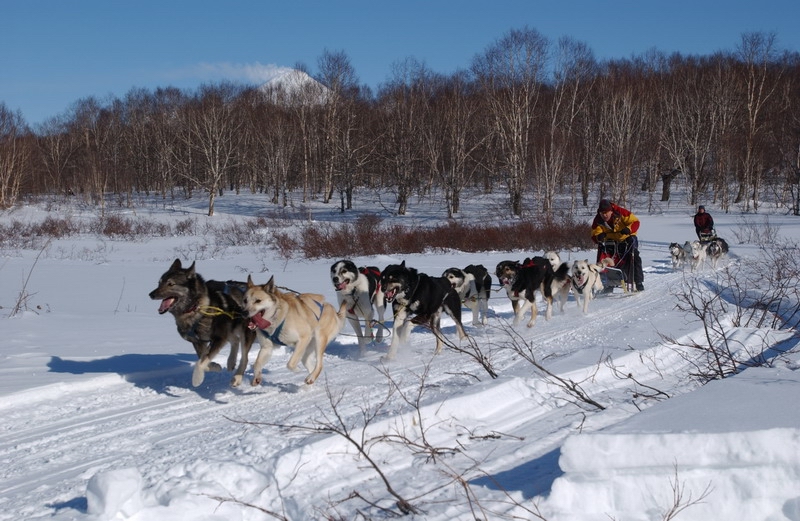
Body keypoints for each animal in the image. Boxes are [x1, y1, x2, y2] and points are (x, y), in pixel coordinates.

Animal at [147, 258, 253, 386]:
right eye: (159, 283)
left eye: (171, 284)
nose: (151, 294)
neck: (196, 308)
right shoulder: (198, 341)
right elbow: (203, 359)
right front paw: (215, 366)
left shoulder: (218, 338)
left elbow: (201, 362)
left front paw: (197, 379)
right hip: (229, 330)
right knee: (235, 340)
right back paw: (230, 362)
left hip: (244, 331)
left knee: (244, 357)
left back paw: (237, 378)